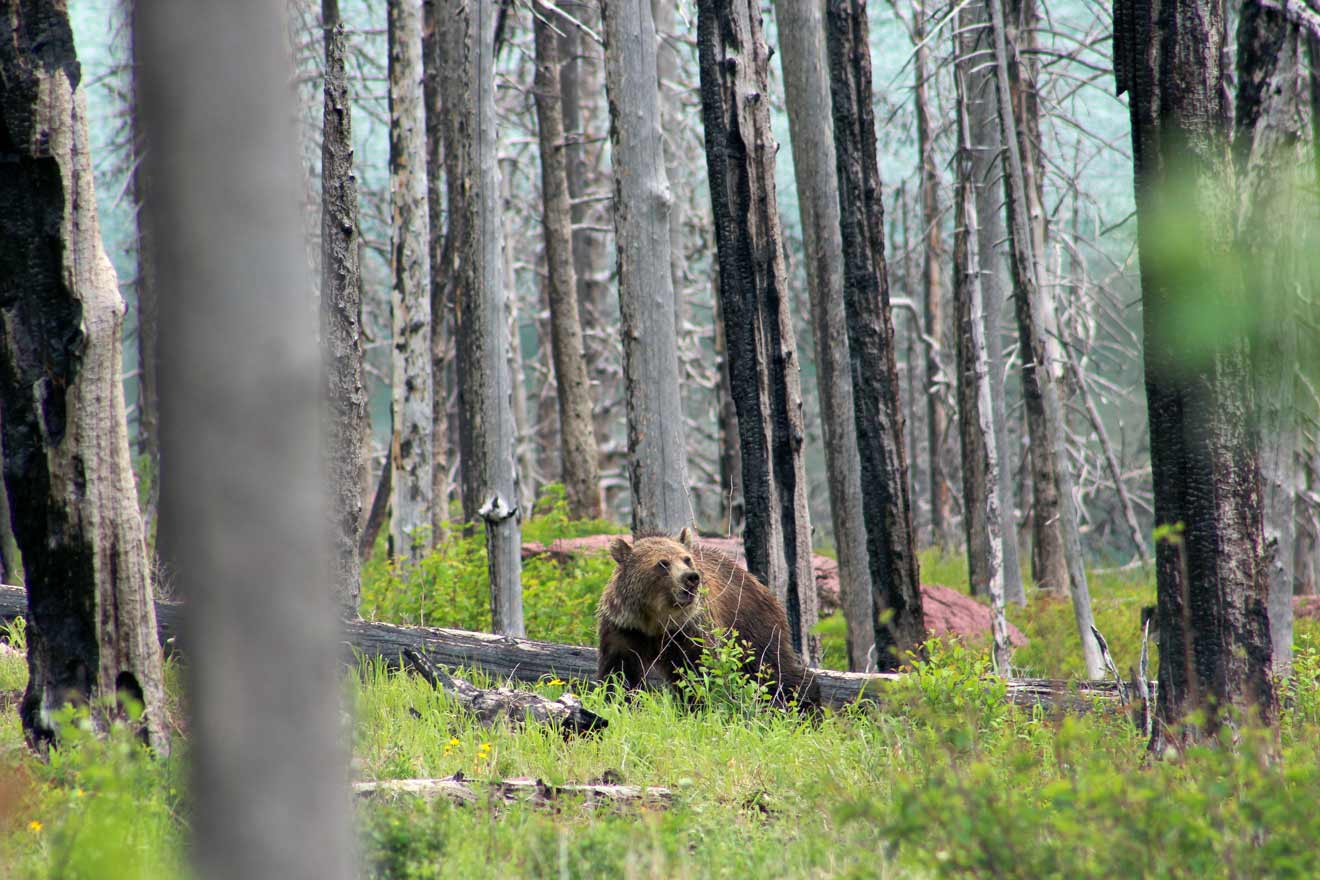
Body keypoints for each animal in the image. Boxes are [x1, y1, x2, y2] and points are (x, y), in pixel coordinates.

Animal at [596, 530, 818, 707]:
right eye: (663, 563)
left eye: (686, 559)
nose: (691, 577)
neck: (656, 621)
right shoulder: (624, 629)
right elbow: (620, 674)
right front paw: (618, 700)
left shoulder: (689, 631)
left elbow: (699, 671)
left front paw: (699, 705)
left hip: (751, 623)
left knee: (772, 667)